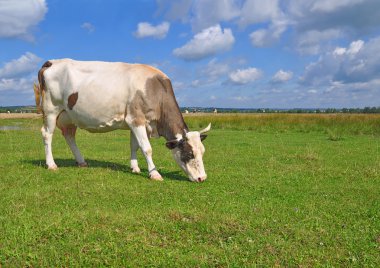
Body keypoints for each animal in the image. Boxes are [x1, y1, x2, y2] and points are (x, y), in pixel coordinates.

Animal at [33, 59, 211, 182]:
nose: (202, 178)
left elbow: (134, 146)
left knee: (69, 136)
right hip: (51, 110)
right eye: (189, 154)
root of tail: (52, 62)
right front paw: (154, 173)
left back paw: (81, 161)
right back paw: (51, 164)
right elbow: (147, 148)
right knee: (47, 134)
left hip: (69, 116)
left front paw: (135, 168)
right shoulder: (136, 119)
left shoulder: (137, 122)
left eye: (202, 152)